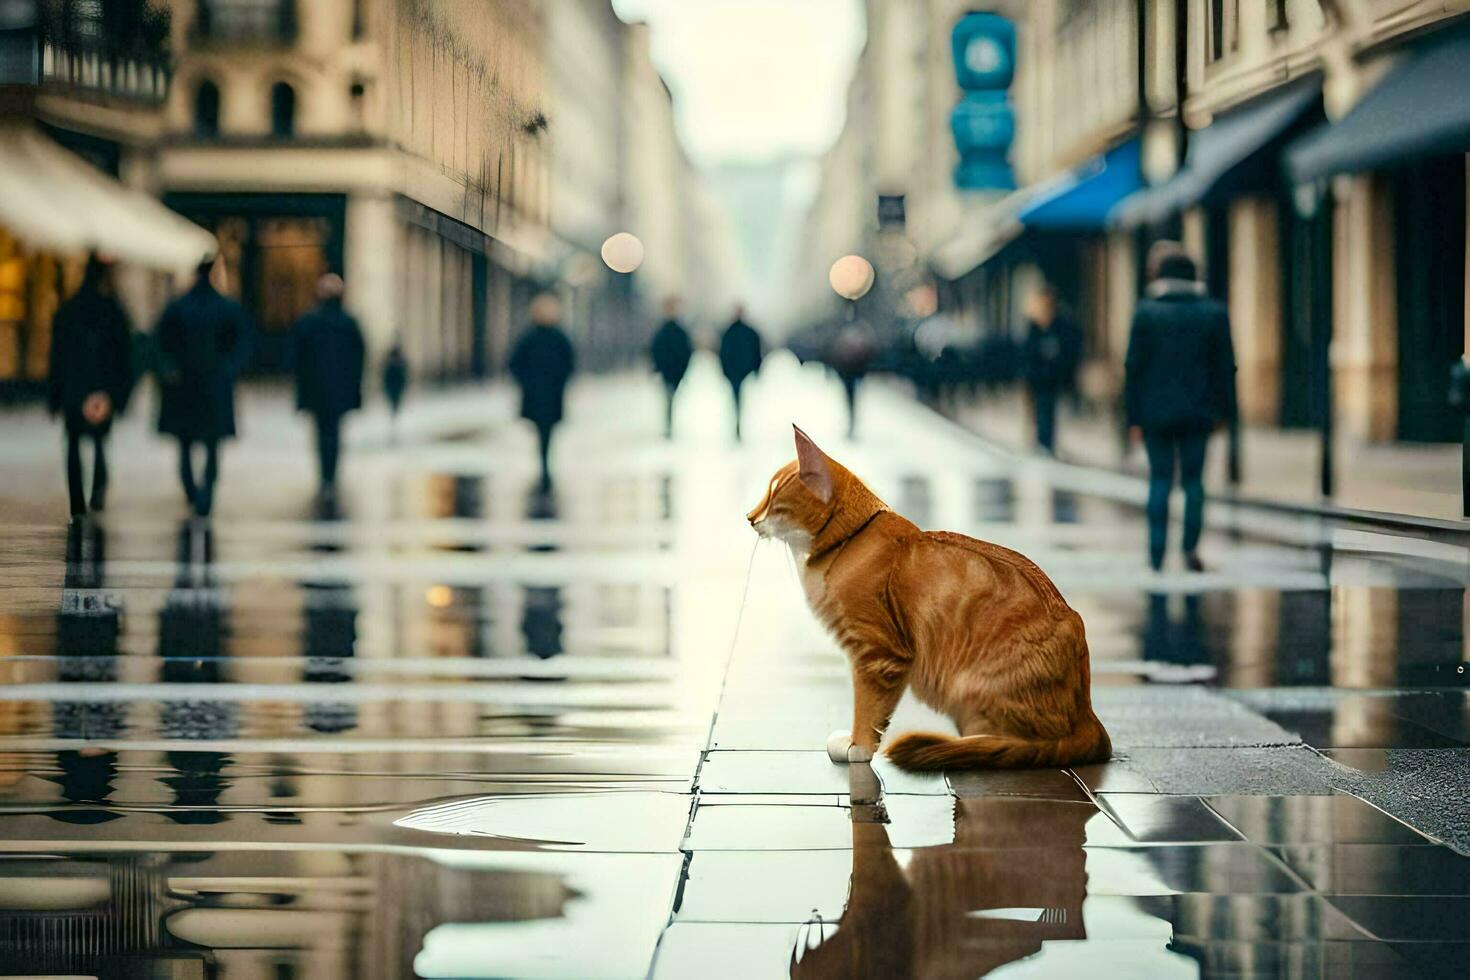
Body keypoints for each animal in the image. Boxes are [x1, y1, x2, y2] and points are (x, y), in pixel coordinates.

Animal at [752, 429, 1105, 775]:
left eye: (773, 498)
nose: (749, 517)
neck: (849, 540)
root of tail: (1090, 718)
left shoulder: (878, 654)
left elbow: (868, 710)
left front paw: (857, 746)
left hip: (970, 686)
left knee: (1022, 746)